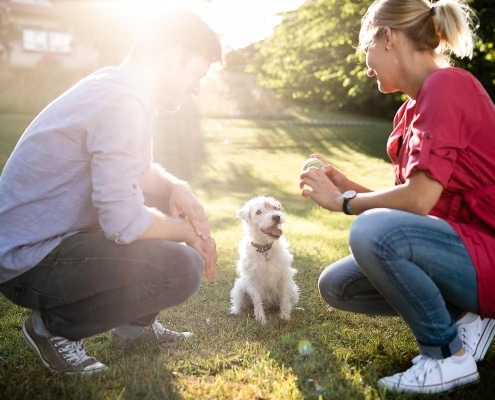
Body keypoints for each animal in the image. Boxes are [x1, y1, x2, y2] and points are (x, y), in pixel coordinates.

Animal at [231, 195, 300, 324]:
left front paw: (285, 316)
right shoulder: (253, 280)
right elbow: (257, 301)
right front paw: (261, 319)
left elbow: (284, 298)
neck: (265, 249)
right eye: (258, 212)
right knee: (238, 302)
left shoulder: (284, 277)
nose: (277, 216)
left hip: (293, 290)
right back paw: (235, 311)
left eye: (275, 208)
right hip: (240, 286)